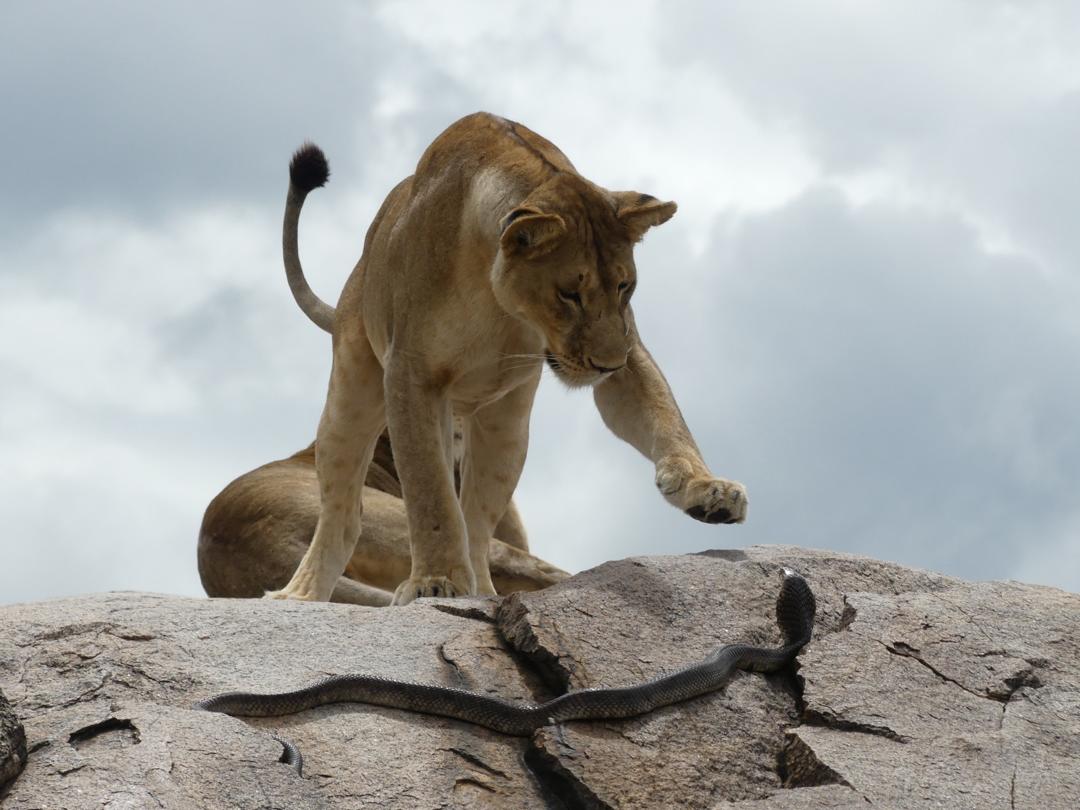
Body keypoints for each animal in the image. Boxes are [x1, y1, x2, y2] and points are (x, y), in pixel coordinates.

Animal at [269, 112, 747, 606]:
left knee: (478, 525)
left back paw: (480, 590)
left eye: (624, 286)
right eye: (569, 293)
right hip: (353, 394)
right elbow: (428, 490)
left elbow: (663, 417)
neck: (497, 296)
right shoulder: (410, 373)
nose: (606, 365)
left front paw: (707, 490)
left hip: (506, 426)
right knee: (345, 514)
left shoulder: (623, 343)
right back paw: (300, 595)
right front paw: (433, 580)